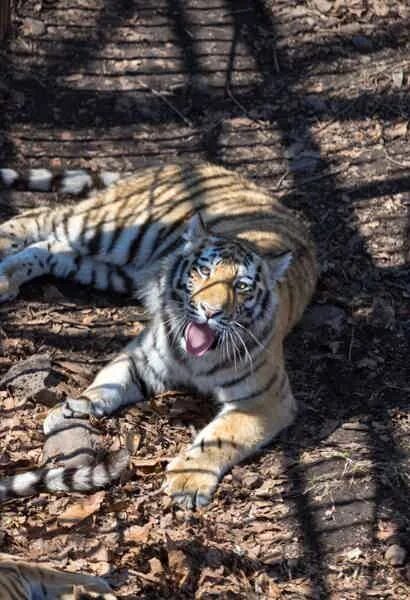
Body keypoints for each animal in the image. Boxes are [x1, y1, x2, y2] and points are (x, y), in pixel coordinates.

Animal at [0, 162, 318, 508]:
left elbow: (220, 438)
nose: (210, 310)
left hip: (111, 269)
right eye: (204, 271)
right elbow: (109, 380)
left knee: (52, 249)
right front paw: (73, 408)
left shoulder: (264, 399)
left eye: (242, 286)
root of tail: (189, 162)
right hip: (113, 228)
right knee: (42, 217)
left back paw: (6, 278)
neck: (197, 359)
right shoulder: (144, 356)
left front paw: (188, 480)